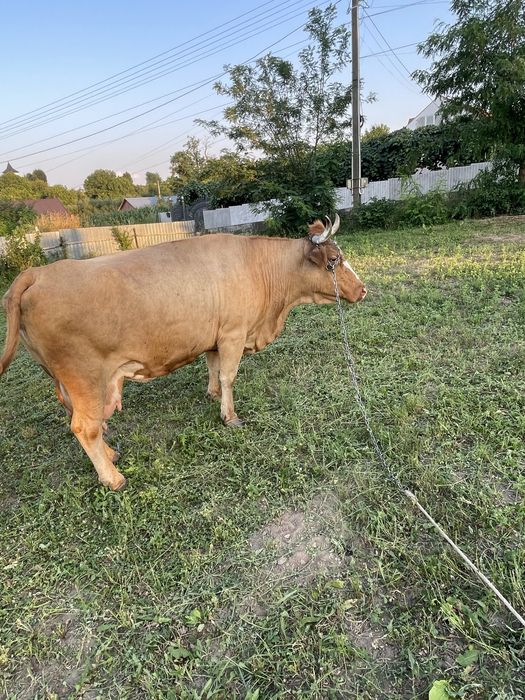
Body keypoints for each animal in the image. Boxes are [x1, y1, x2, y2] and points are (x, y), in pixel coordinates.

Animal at [0, 215, 366, 490]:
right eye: (334, 261)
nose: (363, 289)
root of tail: (37, 273)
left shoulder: (214, 337)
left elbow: (213, 368)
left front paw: (212, 394)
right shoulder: (233, 334)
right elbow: (229, 375)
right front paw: (229, 416)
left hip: (67, 382)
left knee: (85, 422)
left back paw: (111, 454)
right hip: (85, 378)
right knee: (84, 427)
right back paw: (113, 477)